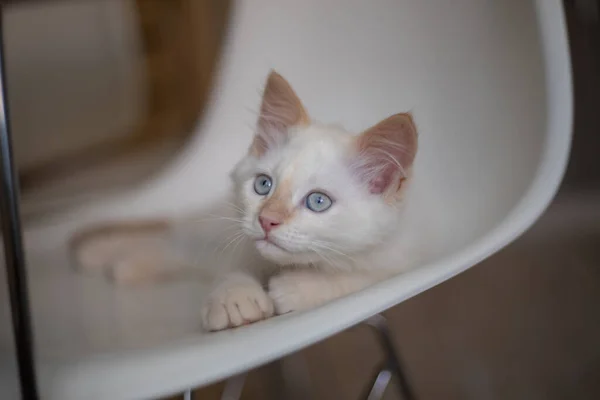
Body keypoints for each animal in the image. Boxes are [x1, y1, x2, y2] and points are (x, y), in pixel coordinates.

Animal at [72, 71, 424, 332]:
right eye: (263, 185)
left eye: (318, 202)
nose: (267, 220)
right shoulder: (237, 245)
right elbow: (232, 268)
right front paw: (234, 298)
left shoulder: (406, 259)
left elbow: (362, 278)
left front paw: (298, 288)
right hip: (210, 230)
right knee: (172, 240)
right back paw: (101, 254)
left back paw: (122, 265)